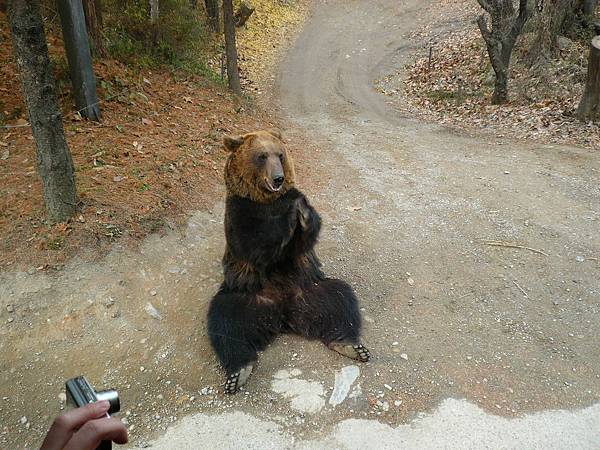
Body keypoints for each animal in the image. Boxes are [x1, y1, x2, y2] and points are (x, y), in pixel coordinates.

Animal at [207, 128, 370, 392]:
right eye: (262, 155)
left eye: (280, 155)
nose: (278, 179)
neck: (265, 199)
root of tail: (283, 315)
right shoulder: (239, 211)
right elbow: (254, 244)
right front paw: (289, 217)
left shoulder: (293, 197)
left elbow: (302, 240)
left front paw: (302, 213)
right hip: (244, 294)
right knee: (226, 321)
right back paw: (238, 371)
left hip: (311, 289)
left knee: (340, 299)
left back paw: (350, 345)